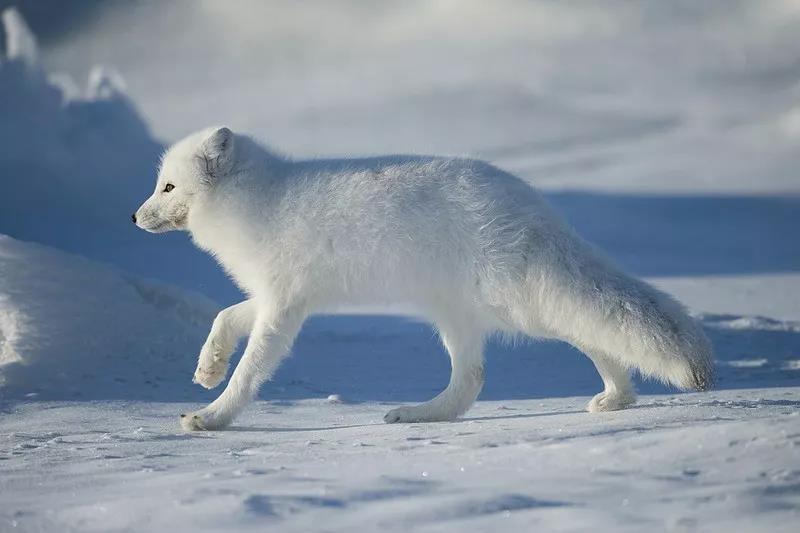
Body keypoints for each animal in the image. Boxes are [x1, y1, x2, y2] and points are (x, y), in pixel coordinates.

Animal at [134, 127, 716, 430]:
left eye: (167, 187)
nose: (134, 217)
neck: (255, 202)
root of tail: (533, 205)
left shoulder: (283, 306)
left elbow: (251, 371)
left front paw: (212, 415)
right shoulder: (280, 295)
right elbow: (225, 316)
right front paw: (207, 367)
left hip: (517, 305)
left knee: (581, 329)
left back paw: (617, 396)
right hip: (454, 315)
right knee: (473, 379)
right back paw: (422, 414)